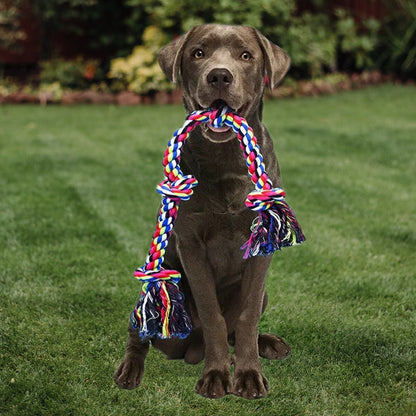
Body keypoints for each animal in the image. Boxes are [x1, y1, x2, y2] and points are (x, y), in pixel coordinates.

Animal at [114, 23, 292, 400]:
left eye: (245, 55)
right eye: (198, 53)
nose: (220, 76)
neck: (224, 160)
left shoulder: (262, 247)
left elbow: (247, 315)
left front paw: (248, 374)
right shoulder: (192, 243)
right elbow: (212, 314)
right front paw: (216, 375)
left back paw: (267, 344)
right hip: (155, 292)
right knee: (140, 334)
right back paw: (130, 370)